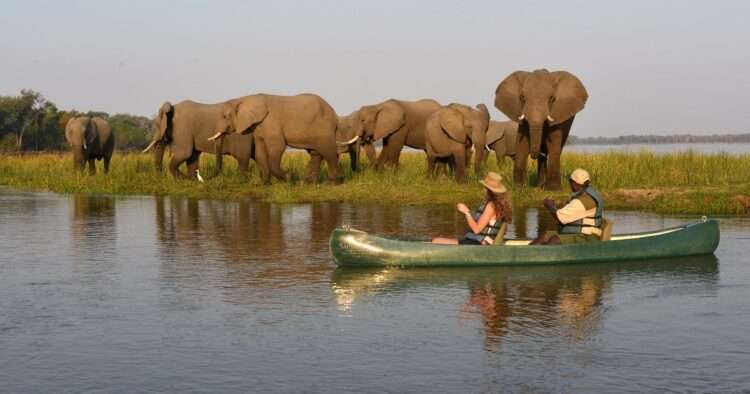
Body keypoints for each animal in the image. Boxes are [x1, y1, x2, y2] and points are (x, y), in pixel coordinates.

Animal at [210, 93, 342, 184]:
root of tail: (334, 114)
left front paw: (289, 178)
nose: (211, 177)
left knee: (329, 152)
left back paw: (335, 183)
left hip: (324, 127)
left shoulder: (271, 122)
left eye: (225, 116)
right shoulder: (258, 127)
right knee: (315, 153)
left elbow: (277, 147)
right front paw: (264, 184)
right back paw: (308, 183)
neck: (244, 98)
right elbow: (260, 152)